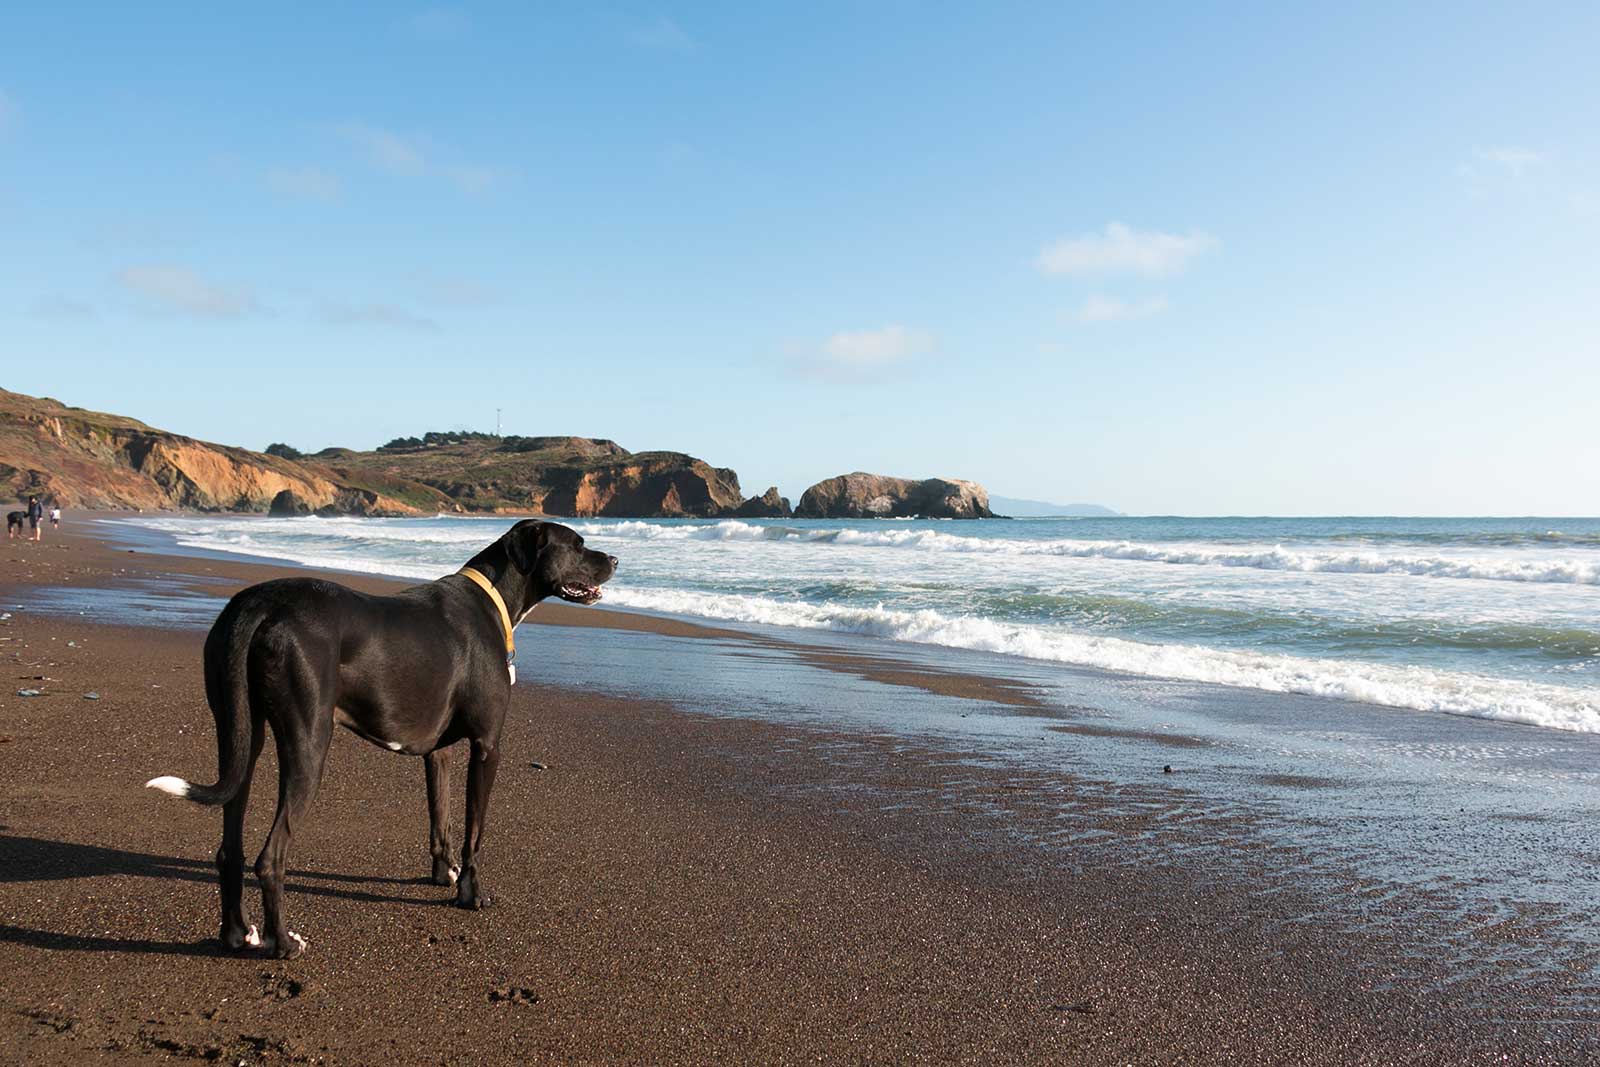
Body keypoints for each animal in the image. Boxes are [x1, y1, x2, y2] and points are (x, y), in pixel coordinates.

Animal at [145, 518, 617, 959]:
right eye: (576, 543)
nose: (614, 559)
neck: (494, 597)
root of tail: (257, 605)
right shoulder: (487, 747)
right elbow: (474, 832)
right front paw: (470, 892)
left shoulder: (439, 752)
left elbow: (441, 816)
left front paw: (442, 874)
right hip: (309, 742)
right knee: (271, 858)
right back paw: (284, 943)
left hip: (240, 734)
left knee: (230, 845)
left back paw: (237, 933)